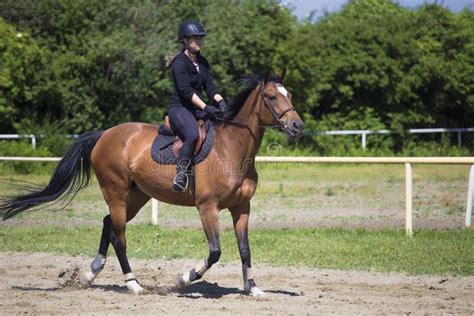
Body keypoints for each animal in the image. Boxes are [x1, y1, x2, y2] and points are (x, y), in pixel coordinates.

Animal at [0, 69, 304, 296]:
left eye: (289, 95)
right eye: (271, 96)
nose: (297, 126)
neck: (232, 148)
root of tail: (103, 135)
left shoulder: (241, 207)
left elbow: (245, 249)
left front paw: (252, 288)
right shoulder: (207, 207)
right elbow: (215, 251)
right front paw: (183, 279)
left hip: (136, 197)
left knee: (108, 224)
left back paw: (90, 274)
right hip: (116, 193)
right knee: (119, 237)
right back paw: (133, 284)